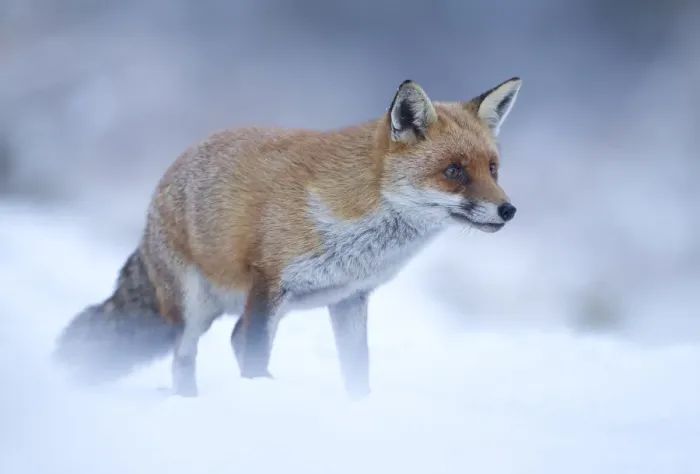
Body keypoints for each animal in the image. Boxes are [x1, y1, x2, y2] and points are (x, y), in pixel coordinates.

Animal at [54, 77, 522, 399]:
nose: (508, 210)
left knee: (230, 338)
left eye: (492, 169)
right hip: (194, 308)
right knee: (187, 358)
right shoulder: (269, 279)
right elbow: (256, 353)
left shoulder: (350, 296)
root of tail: (164, 179)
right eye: (454, 171)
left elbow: (357, 370)